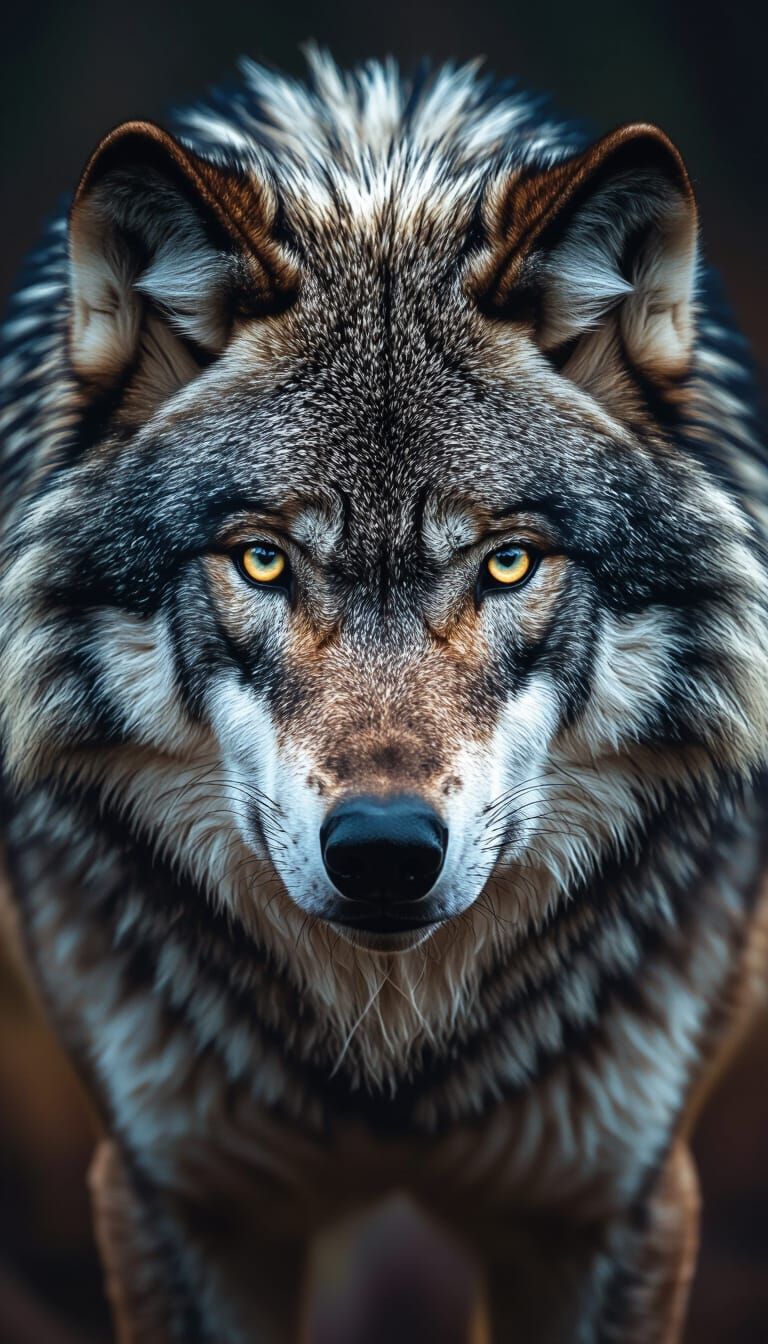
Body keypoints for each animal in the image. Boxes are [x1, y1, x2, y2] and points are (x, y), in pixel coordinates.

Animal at [2, 49, 767, 1343]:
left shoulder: (613, 1201)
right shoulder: (173, 1194)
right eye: (264, 560)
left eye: (506, 563)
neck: (390, 1051)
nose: (383, 851)